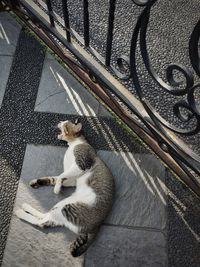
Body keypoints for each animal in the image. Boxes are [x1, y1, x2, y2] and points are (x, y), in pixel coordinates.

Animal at [15, 120, 115, 258]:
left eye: (66, 124)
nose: (60, 121)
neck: (73, 144)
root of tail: (97, 226)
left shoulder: (81, 164)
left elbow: (61, 176)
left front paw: (57, 189)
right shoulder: (72, 178)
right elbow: (57, 177)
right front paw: (40, 182)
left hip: (67, 208)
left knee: (42, 221)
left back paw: (21, 212)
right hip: (64, 204)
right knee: (45, 218)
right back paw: (26, 207)